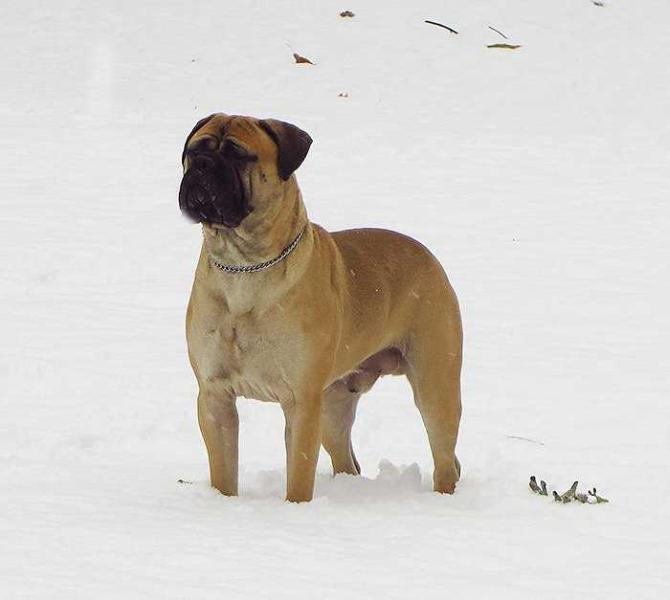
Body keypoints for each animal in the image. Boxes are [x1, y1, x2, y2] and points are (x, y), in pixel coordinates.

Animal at [178, 112, 464, 502]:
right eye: (195, 151)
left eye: (238, 154)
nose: (203, 165)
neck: (245, 264)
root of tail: (430, 258)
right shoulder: (215, 396)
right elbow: (223, 468)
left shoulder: (301, 402)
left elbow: (299, 472)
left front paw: (295, 508)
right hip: (333, 403)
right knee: (345, 457)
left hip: (436, 384)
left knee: (444, 457)